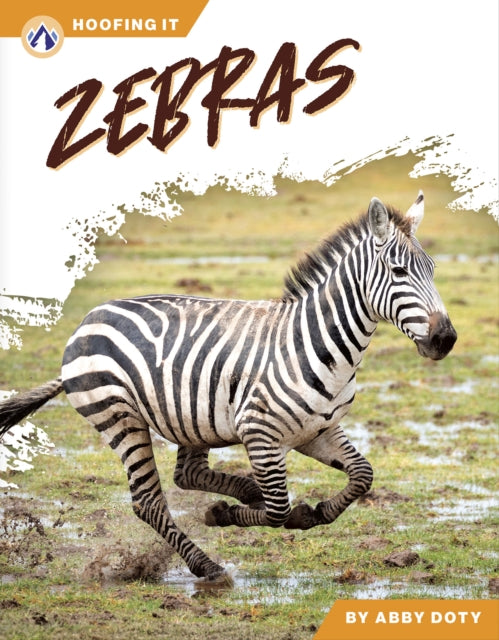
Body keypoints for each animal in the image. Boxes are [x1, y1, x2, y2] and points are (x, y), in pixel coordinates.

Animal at [0, 192, 457, 581]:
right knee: (150, 501)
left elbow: (362, 475)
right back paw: (207, 564)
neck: (320, 348)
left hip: (190, 417)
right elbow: (278, 510)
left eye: (434, 270)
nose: (445, 339)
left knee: (188, 474)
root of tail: (91, 317)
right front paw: (228, 515)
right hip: (120, 417)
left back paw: (244, 493)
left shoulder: (318, 430)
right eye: (399, 271)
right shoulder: (261, 435)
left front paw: (317, 510)